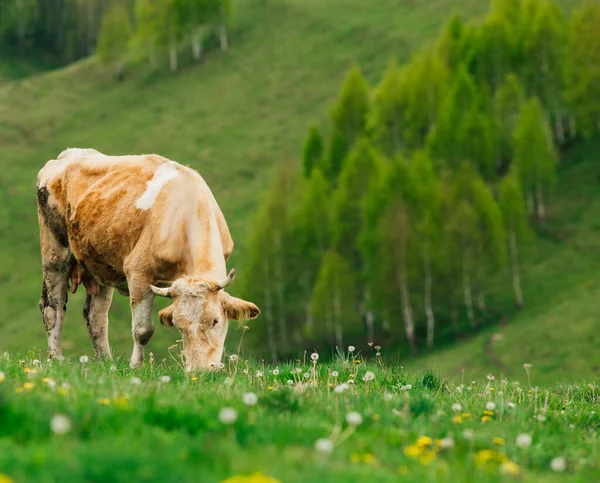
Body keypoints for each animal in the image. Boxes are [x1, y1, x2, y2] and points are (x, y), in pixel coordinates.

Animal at [35, 147, 260, 370]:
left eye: (215, 321)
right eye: (178, 325)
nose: (200, 370)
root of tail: (69, 154)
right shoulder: (138, 273)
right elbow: (142, 330)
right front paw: (136, 366)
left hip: (101, 263)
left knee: (95, 315)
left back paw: (107, 361)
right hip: (55, 252)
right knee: (52, 308)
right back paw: (57, 358)